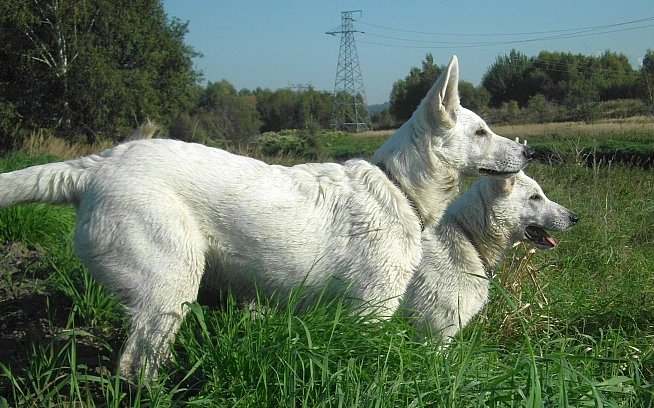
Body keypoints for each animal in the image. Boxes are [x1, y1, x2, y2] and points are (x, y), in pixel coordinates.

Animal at [0, 55, 532, 378]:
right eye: (482, 132)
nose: (528, 150)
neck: (398, 189)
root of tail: (99, 164)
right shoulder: (372, 310)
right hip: (169, 288)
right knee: (136, 365)